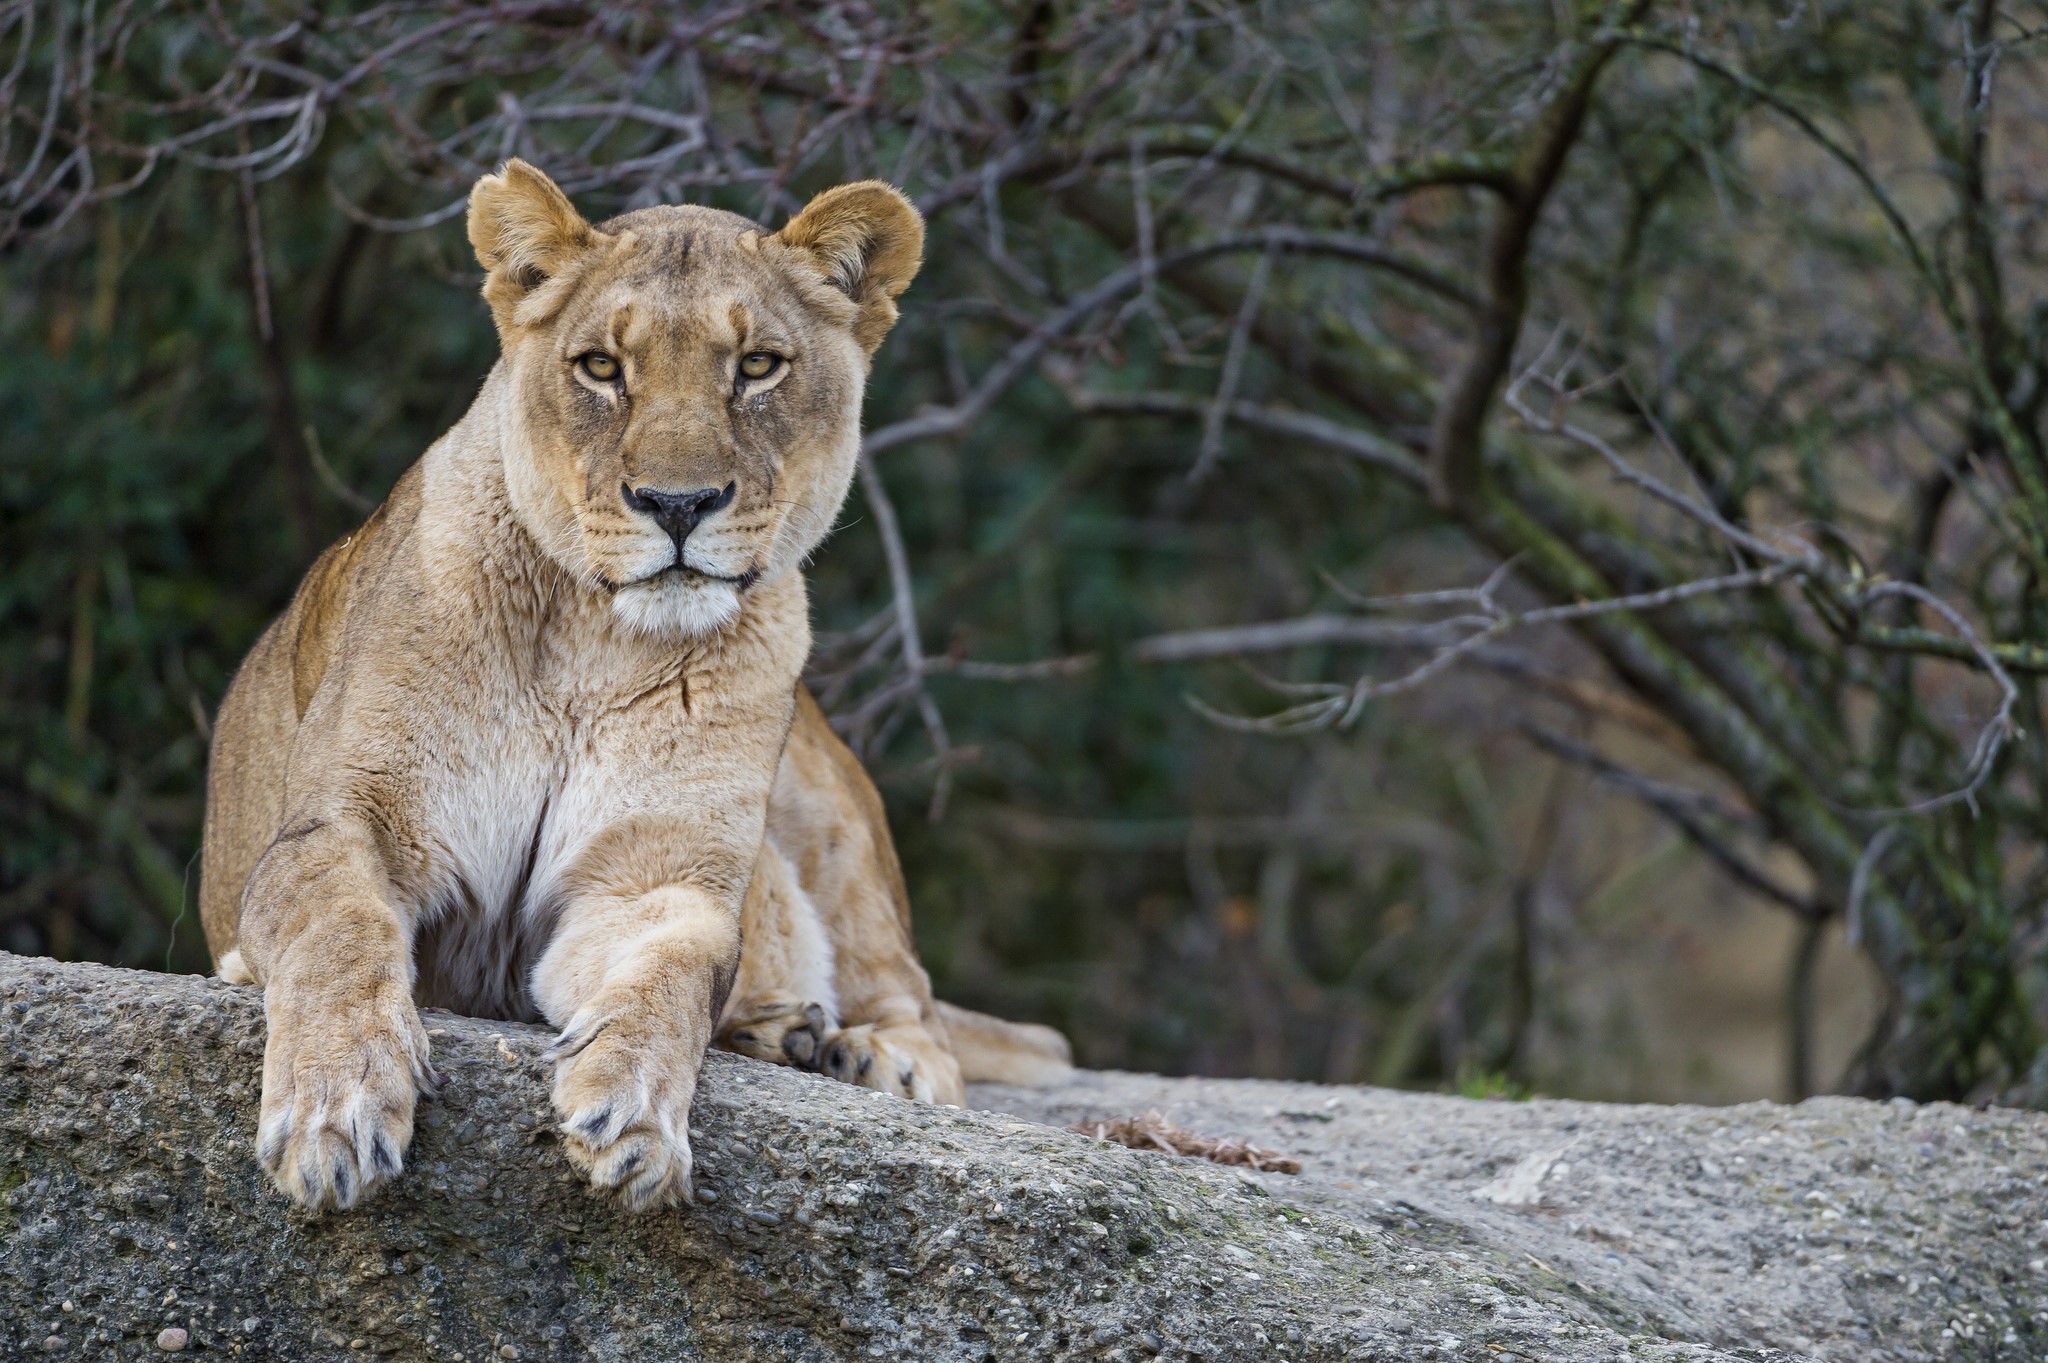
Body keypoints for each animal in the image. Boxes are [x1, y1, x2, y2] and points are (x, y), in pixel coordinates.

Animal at [197, 160, 1069, 1214]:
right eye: (602, 368)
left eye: (759, 366)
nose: (678, 504)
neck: (592, 646)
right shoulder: (342, 825)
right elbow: (337, 930)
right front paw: (336, 1110)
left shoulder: (654, 877)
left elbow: (676, 972)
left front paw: (635, 1116)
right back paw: (788, 1033)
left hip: (834, 822)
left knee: (921, 1009)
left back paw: (857, 1052)